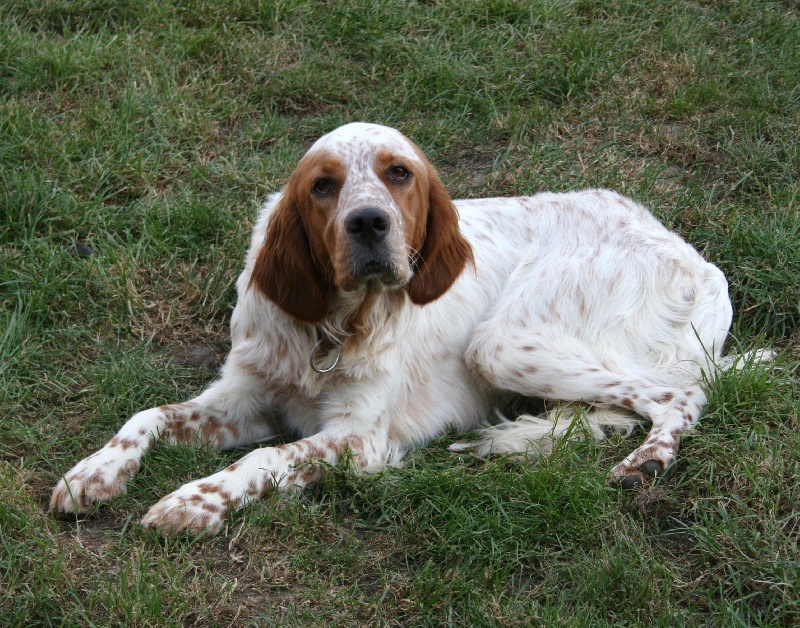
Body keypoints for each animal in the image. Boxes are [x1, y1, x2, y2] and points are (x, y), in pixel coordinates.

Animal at [50, 123, 737, 535]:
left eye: (398, 173)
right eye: (324, 185)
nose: (369, 223)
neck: (333, 329)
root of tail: (695, 258)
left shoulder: (359, 439)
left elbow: (267, 458)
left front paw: (192, 501)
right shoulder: (244, 396)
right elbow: (147, 414)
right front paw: (91, 474)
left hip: (502, 343)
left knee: (678, 393)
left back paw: (646, 461)